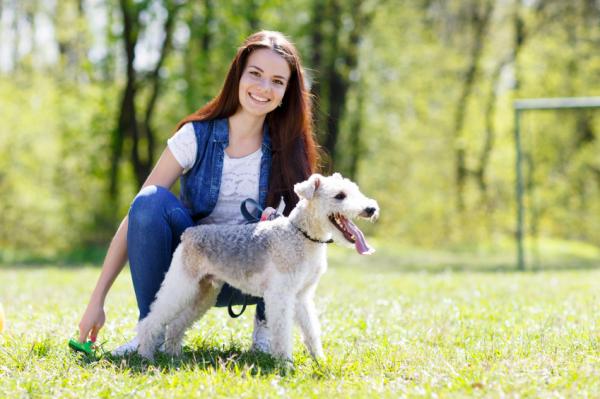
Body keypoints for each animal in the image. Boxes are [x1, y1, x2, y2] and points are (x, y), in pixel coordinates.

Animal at [138, 173, 378, 362]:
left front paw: (320, 361)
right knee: (151, 320)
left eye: (355, 190)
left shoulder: (301, 296)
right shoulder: (280, 295)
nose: (371, 209)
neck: (301, 235)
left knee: (175, 325)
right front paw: (285, 364)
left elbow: (311, 331)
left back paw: (173, 355)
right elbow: (282, 332)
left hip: (203, 293)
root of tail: (188, 233)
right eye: (340, 196)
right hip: (181, 285)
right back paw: (145, 355)